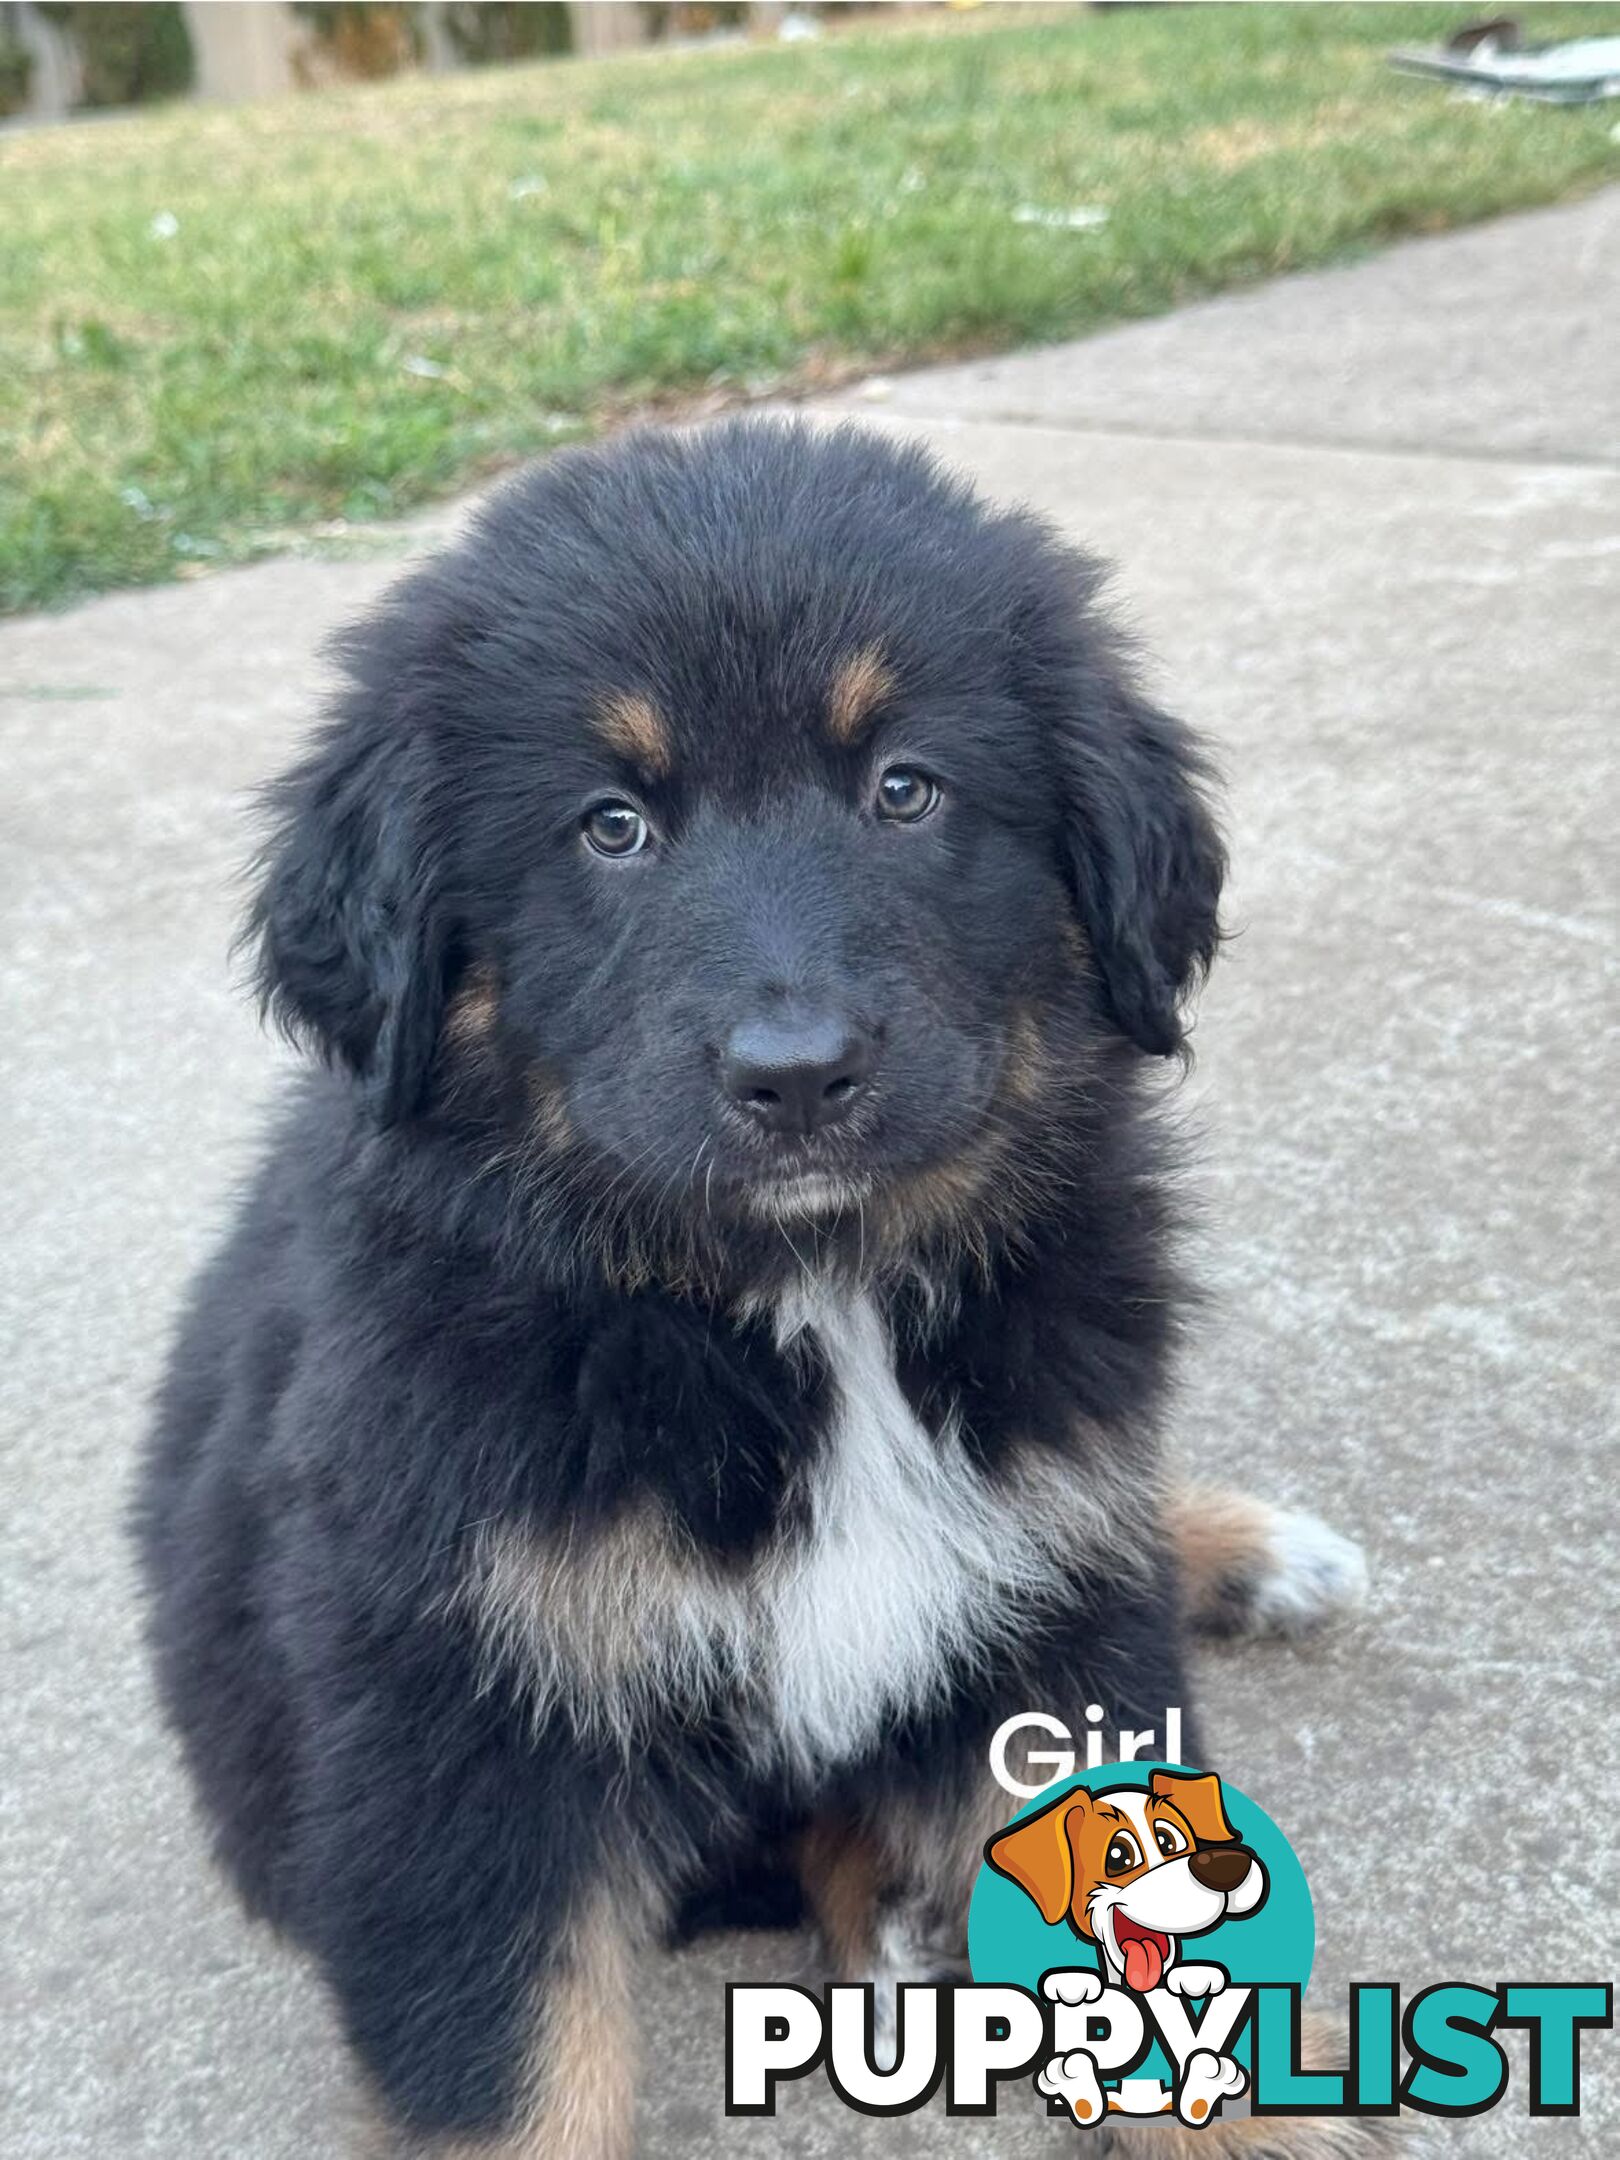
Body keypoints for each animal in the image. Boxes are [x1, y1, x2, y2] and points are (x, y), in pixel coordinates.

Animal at [139, 412, 1373, 2151]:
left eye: (904, 791)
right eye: (612, 825)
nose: (799, 1077)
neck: (793, 1295)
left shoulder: (1053, 1592)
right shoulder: (458, 1729)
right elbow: (512, 2083)